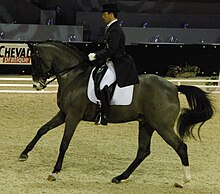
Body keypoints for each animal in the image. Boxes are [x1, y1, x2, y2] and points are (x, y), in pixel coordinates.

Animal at [18, 41, 213, 185]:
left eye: (34, 59)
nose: (36, 85)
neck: (74, 76)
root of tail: (173, 87)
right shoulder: (63, 114)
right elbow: (42, 129)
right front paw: (24, 154)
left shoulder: (73, 116)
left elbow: (64, 143)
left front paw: (55, 172)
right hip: (146, 123)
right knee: (143, 151)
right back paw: (120, 177)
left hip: (162, 125)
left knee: (180, 147)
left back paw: (184, 180)